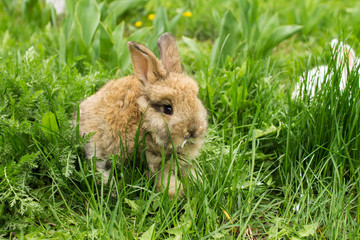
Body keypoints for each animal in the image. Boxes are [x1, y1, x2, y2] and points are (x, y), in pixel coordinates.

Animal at [74, 32, 207, 197]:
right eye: (167, 109)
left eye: (196, 98)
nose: (193, 130)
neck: (145, 120)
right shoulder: (152, 159)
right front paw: (175, 191)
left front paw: (198, 182)